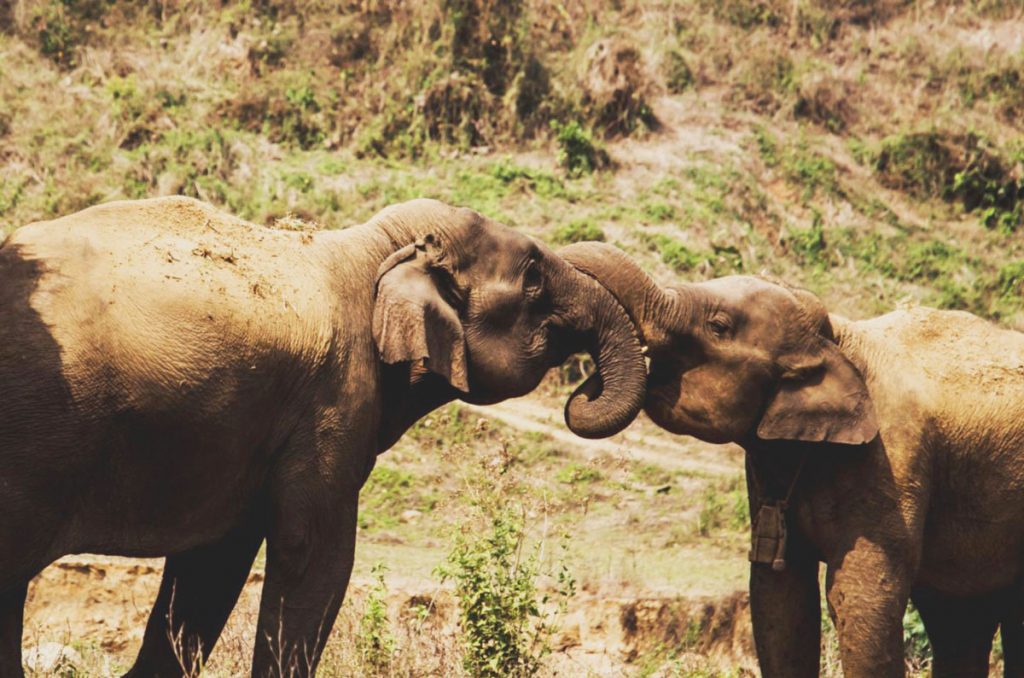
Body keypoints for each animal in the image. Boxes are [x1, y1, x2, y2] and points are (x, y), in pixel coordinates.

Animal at [0, 196, 646, 677]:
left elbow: (214, 561)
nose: (583, 388)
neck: (373, 247)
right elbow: (316, 552)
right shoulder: (335, 397)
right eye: (534, 277)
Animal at [559, 242, 1024, 678]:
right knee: (959, 620)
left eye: (718, 326)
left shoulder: (894, 456)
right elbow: (779, 593)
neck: (837, 337)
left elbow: (860, 592)